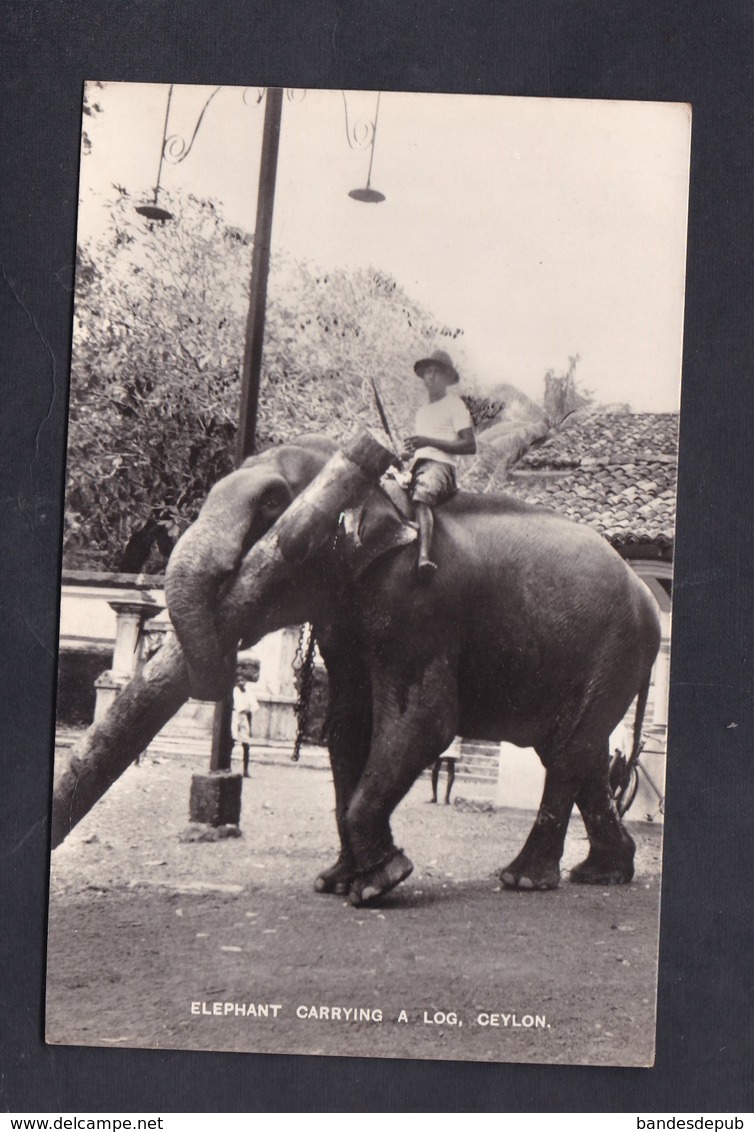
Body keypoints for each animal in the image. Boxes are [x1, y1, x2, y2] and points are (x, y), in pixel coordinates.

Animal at [158, 427, 656, 905]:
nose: (235, 666)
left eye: (273, 501)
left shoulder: (417, 608)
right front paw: (335, 882)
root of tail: (646, 592)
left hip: (615, 652)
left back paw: (524, 879)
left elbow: (424, 722)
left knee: (570, 751)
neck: (381, 497)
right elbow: (347, 726)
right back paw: (602, 873)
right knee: (580, 753)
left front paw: (380, 882)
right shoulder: (346, 620)